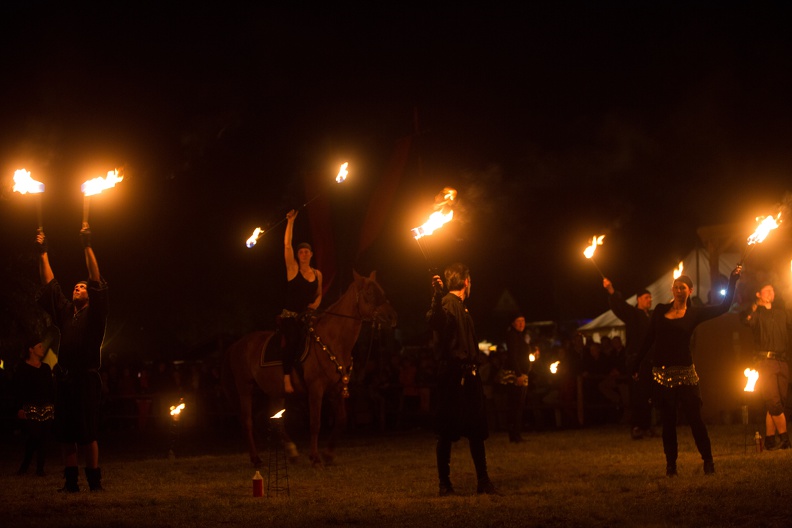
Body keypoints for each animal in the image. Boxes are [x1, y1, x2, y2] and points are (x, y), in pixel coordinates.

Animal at [223, 272, 396, 466]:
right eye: (369, 293)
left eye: (381, 291)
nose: (392, 317)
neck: (333, 340)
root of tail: (238, 344)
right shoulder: (316, 389)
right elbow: (315, 423)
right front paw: (315, 457)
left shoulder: (336, 389)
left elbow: (342, 420)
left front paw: (328, 454)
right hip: (245, 388)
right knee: (247, 421)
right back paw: (256, 458)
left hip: (276, 392)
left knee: (275, 420)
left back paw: (292, 452)